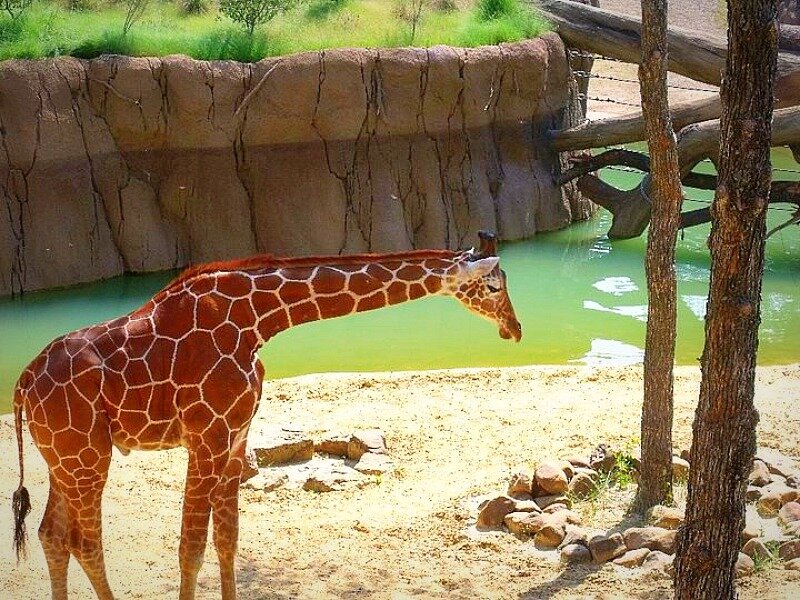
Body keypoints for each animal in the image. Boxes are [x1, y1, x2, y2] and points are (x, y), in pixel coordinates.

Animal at [11, 231, 521, 600]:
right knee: (84, 541)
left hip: (65, 458)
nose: (514, 329)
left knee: (52, 534)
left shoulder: (236, 436)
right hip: (87, 456)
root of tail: (23, 384)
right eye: (493, 284)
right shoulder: (207, 436)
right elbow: (190, 548)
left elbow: (227, 539)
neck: (260, 318)